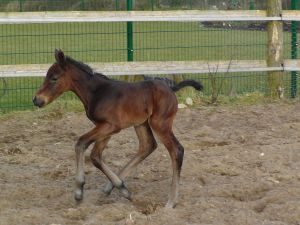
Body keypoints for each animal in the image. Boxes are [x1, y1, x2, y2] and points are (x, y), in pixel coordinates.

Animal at [32, 50, 203, 208]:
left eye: (54, 78)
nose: (36, 100)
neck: (97, 93)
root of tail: (171, 88)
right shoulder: (104, 127)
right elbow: (95, 156)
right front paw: (122, 188)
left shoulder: (111, 126)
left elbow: (81, 143)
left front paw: (79, 192)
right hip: (140, 123)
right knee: (148, 145)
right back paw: (111, 187)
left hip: (159, 123)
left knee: (176, 150)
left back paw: (171, 201)